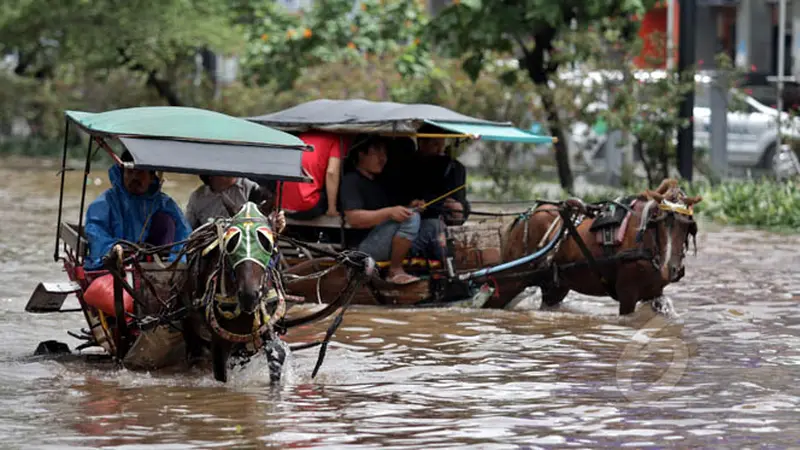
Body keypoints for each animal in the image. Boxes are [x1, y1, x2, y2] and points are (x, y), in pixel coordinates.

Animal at [490, 178, 704, 314]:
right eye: (658, 221)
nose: (670, 268)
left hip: (553, 286)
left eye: (688, 225)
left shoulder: (654, 293)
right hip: (511, 281)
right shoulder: (627, 294)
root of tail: (525, 216)